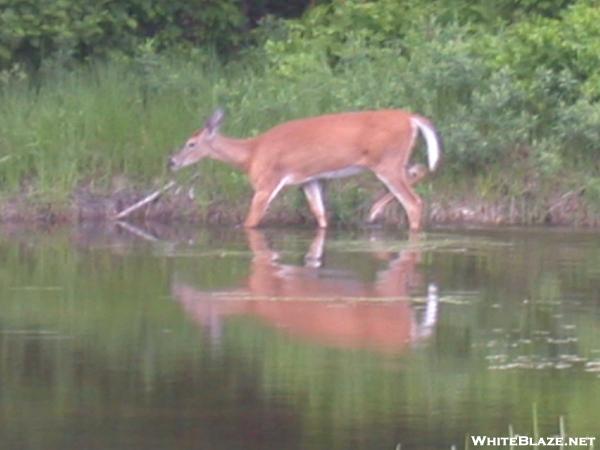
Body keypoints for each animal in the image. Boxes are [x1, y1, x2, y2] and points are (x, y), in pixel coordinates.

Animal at [168, 107, 440, 230]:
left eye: (191, 143)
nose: (172, 162)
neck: (252, 153)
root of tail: (411, 118)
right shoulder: (308, 180)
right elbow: (320, 215)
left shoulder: (267, 181)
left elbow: (251, 221)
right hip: (396, 161)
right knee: (420, 170)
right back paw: (373, 211)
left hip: (387, 162)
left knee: (414, 202)